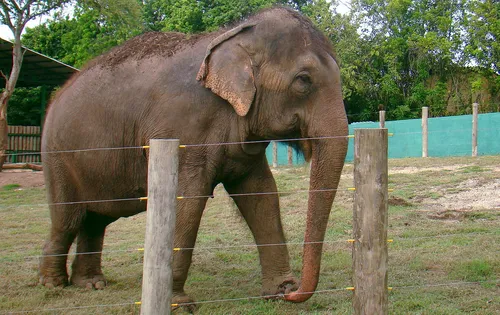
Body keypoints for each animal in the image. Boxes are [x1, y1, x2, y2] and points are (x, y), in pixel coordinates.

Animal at [39, 5, 348, 306]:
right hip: (56, 155)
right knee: (67, 218)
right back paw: (53, 284)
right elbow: (187, 200)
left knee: (95, 220)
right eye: (303, 80)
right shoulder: (182, 128)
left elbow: (262, 195)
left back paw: (91, 283)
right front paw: (179, 304)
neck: (232, 35)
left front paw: (279, 291)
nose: (293, 292)